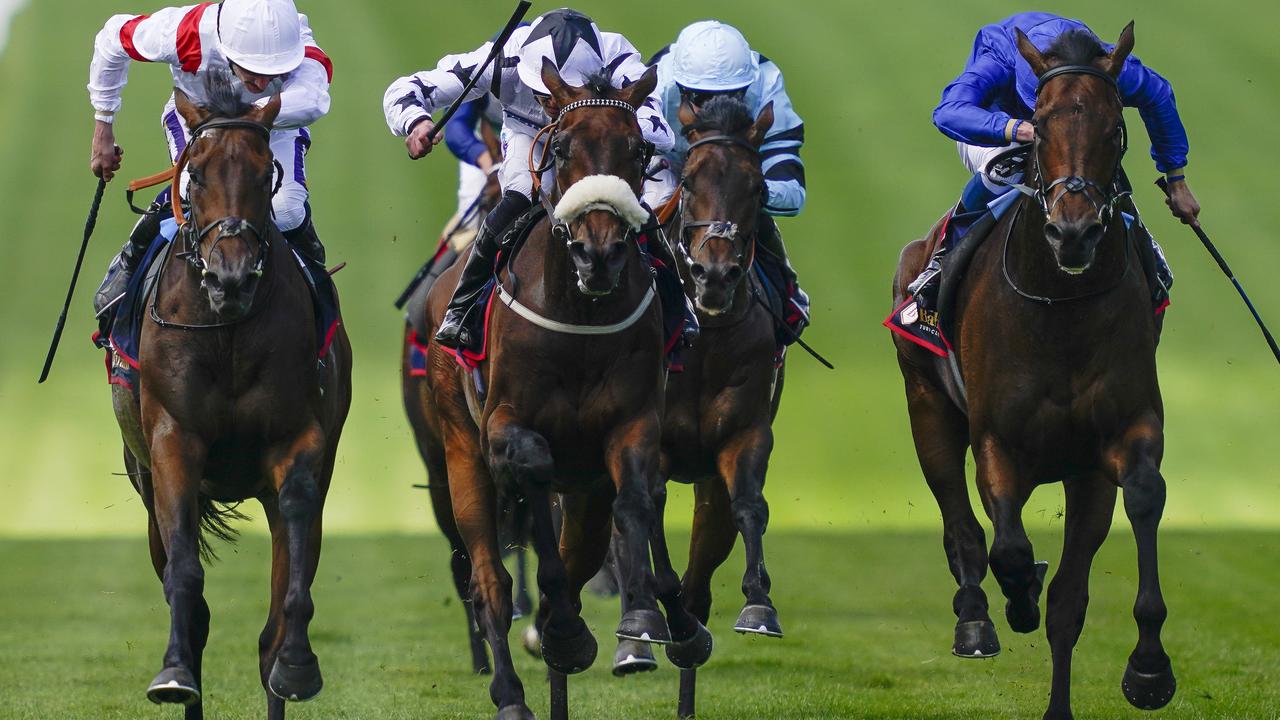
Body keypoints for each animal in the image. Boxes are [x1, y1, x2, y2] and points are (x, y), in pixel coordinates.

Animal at [108, 79, 350, 717]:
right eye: (194, 175)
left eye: (267, 174)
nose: (231, 277)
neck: (228, 331)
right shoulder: (171, 443)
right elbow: (185, 581)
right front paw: (172, 673)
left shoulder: (300, 439)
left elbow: (292, 570)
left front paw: (297, 664)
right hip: (143, 482)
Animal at [409, 61, 691, 717]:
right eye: (560, 147)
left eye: (639, 150)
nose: (599, 252)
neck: (578, 318)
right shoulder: (501, 428)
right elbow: (534, 471)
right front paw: (558, 627)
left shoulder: (632, 423)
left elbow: (638, 499)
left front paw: (661, 618)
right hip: (457, 455)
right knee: (488, 577)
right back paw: (511, 689)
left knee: (582, 544)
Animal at [896, 23, 1172, 717]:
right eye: (1040, 126)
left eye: (1114, 127)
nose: (1073, 231)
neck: (1062, 309)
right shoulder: (999, 440)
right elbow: (1009, 545)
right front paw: (1015, 597)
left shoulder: (1114, 443)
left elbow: (1133, 509)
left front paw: (1148, 668)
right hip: (926, 406)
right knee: (961, 522)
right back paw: (976, 618)